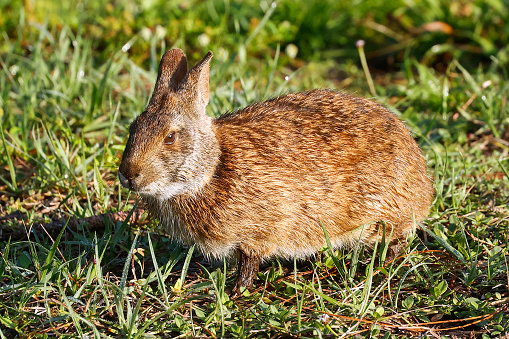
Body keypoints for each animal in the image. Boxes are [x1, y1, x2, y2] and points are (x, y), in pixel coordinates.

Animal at [119, 48, 432, 298]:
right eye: (133, 128)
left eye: (170, 138)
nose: (128, 174)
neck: (213, 169)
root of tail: (424, 184)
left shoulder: (256, 235)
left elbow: (248, 266)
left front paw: (234, 293)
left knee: (396, 240)